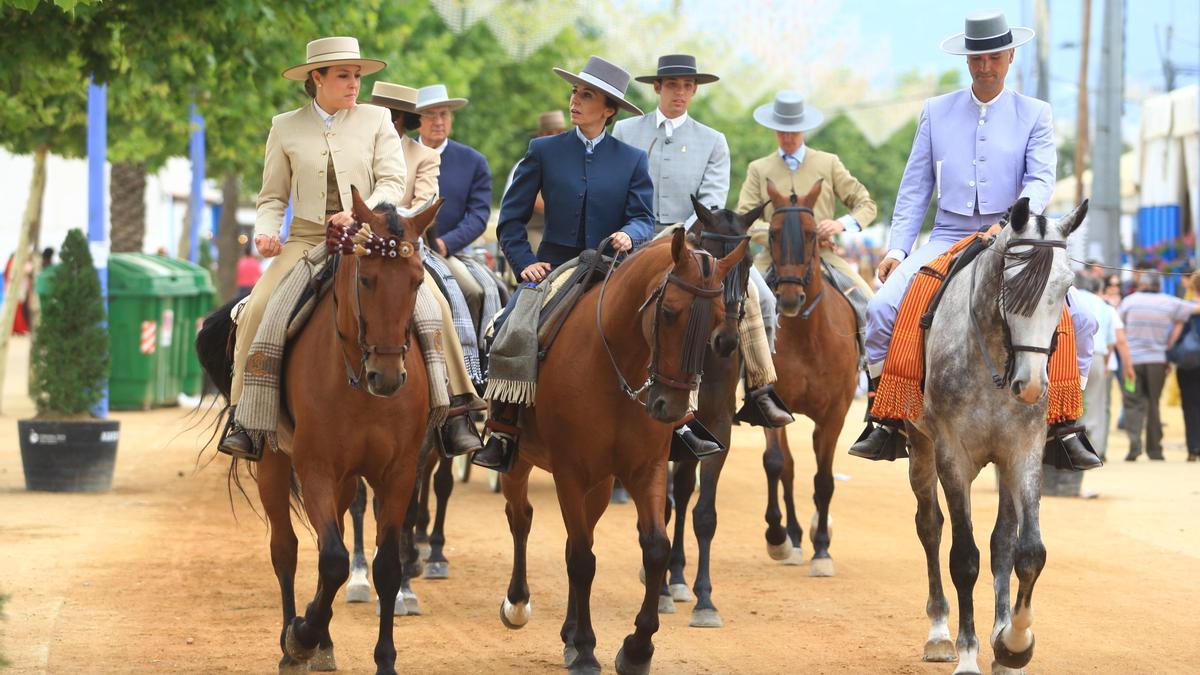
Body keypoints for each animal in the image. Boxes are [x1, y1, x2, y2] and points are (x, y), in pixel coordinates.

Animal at [196, 189, 441, 672]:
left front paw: (384, 658)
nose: (388, 377)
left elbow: (386, 566)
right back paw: (295, 644)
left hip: (347, 479)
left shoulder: (399, 473)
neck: (359, 383)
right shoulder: (316, 469)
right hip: (275, 464)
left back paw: (323, 640)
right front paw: (300, 636)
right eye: (367, 279)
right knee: (286, 549)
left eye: (417, 280)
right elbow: (331, 561)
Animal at [494, 228, 739, 667]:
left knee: (578, 535)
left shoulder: (645, 470)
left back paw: (569, 631)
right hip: (520, 461)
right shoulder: (570, 472)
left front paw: (637, 649)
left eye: (715, 321)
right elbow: (581, 559)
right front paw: (587, 651)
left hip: (602, 483)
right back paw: (518, 604)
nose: (669, 407)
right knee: (521, 518)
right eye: (669, 312)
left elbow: (654, 548)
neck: (615, 365)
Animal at [907, 196, 1089, 667]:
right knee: (930, 526)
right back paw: (939, 632)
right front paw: (969, 656)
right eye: (1011, 286)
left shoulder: (1023, 451)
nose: (1032, 385)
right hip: (921, 447)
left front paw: (1014, 643)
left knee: (1002, 542)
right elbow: (964, 557)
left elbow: (1028, 552)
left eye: (1065, 286)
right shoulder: (952, 454)